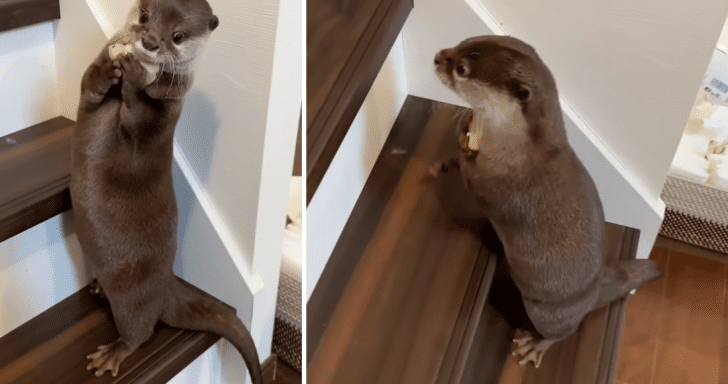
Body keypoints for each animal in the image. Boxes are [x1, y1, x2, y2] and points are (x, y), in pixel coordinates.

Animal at [69, 1, 264, 382]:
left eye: (177, 36)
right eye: (145, 17)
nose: (149, 41)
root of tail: (167, 287)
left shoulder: (164, 114)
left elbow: (143, 115)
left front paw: (132, 73)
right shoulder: (90, 93)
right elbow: (87, 86)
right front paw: (108, 67)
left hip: (134, 302)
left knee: (141, 332)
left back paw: (114, 353)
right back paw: (98, 286)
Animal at [430, 36, 664, 368]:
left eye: (462, 68)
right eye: (461, 43)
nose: (438, 56)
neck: (516, 149)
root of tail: (594, 290)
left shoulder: (501, 185)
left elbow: (476, 182)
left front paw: (462, 139)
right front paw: (446, 157)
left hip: (547, 312)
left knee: (564, 330)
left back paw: (536, 346)